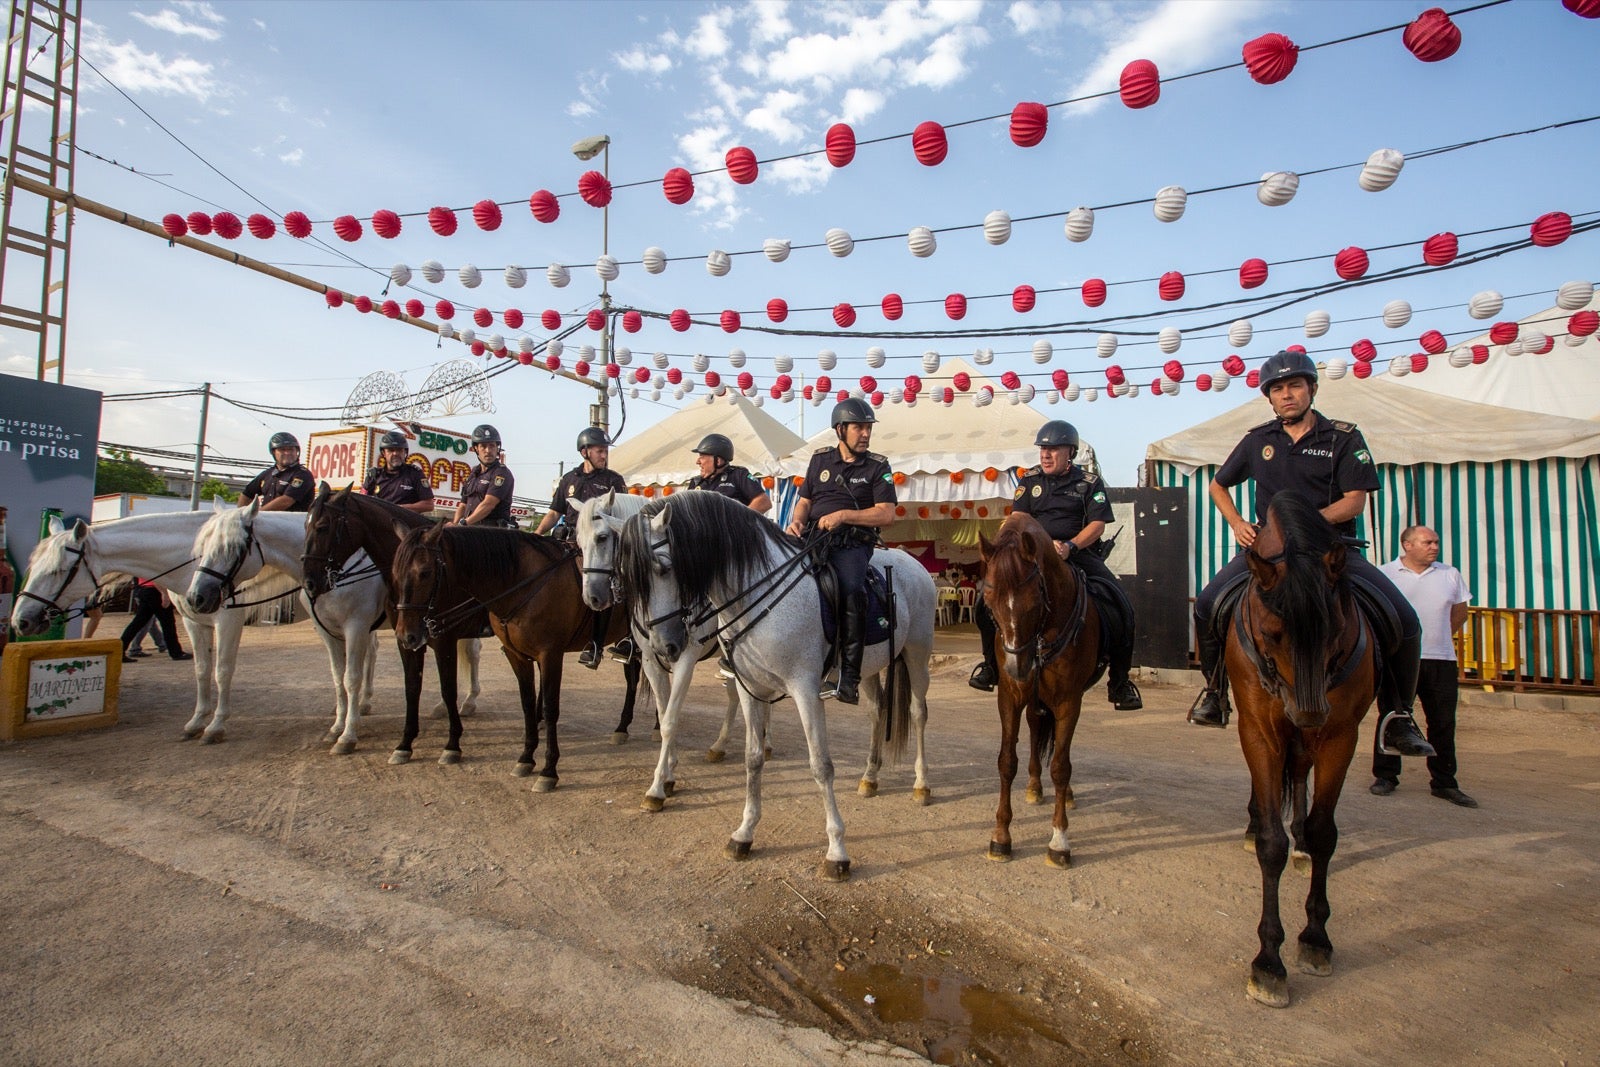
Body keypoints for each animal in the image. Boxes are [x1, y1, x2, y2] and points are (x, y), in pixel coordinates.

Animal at [300, 489, 486, 764]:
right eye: (305, 524)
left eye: (322, 527)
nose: (310, 582)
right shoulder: (403, 637)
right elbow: (410, 687)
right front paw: (402, 744)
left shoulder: (440, 637)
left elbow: (446, 686)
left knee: (473, 655)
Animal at [388, 521, 643, 790]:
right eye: (394, 573)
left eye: (425, 572)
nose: (406, 636)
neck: (523, 583)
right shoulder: (516, 655)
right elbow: (527, 704)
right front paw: (526, 758)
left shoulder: (550, 655)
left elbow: (551, 708)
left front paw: (549, 771)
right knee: (634, 679)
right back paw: (626, 727)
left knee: (635, 680)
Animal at [611, 489, 934, 883]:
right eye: (628, 576)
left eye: (664, 568)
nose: (665, 645)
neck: (759, 594)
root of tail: (911, 561)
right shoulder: (751, 688)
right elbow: (752, 760)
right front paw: (744, 833)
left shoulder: (805, 691)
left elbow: (821, 766)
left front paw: (837, 852)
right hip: (869, 668)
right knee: (876, 712)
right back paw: (870, 778)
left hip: (917, 655)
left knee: (918, 713)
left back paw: (921, 785)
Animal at [972, 508, 1100, 870]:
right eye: (989, 602)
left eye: (1034, 603)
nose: (1018, 669)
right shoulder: (1010, 697)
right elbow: (1006, 761)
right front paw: (1001, 837)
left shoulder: (1069, 701)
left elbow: (1060, 766)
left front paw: (1059, 841)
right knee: (1033, 728)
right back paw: (1033, 786)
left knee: (1058, 750)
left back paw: (1064, 795)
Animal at [1228, 492, 1382, 1011]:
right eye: (1273, 632)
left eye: (1335, 627)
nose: (1310, 712)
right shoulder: (1258, 730)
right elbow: (1271, 844)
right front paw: (1268, 963)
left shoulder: (1341, 736)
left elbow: (1322, 832)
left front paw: (1315, 938)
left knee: (1299, 779)